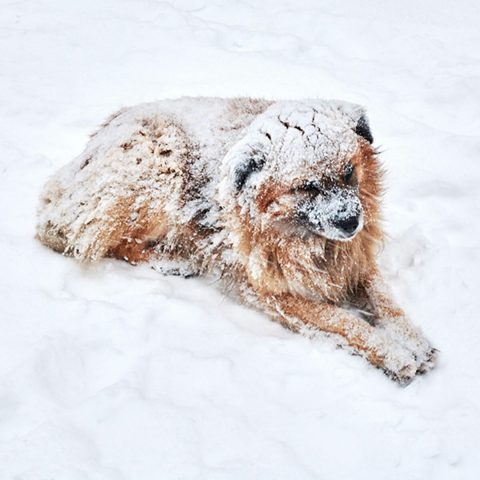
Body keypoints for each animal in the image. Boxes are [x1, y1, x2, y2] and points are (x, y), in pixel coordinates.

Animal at [35, 97, 436, 382]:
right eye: (306, 187)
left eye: (349, 172)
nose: (351, 222)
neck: (304, 237)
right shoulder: (271, 291)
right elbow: (344, 321)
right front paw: (395, 354)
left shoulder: (356, 262)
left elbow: (386, 302)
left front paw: (413, 340)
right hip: (162, 160)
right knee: (98, 238)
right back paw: (171, 259)